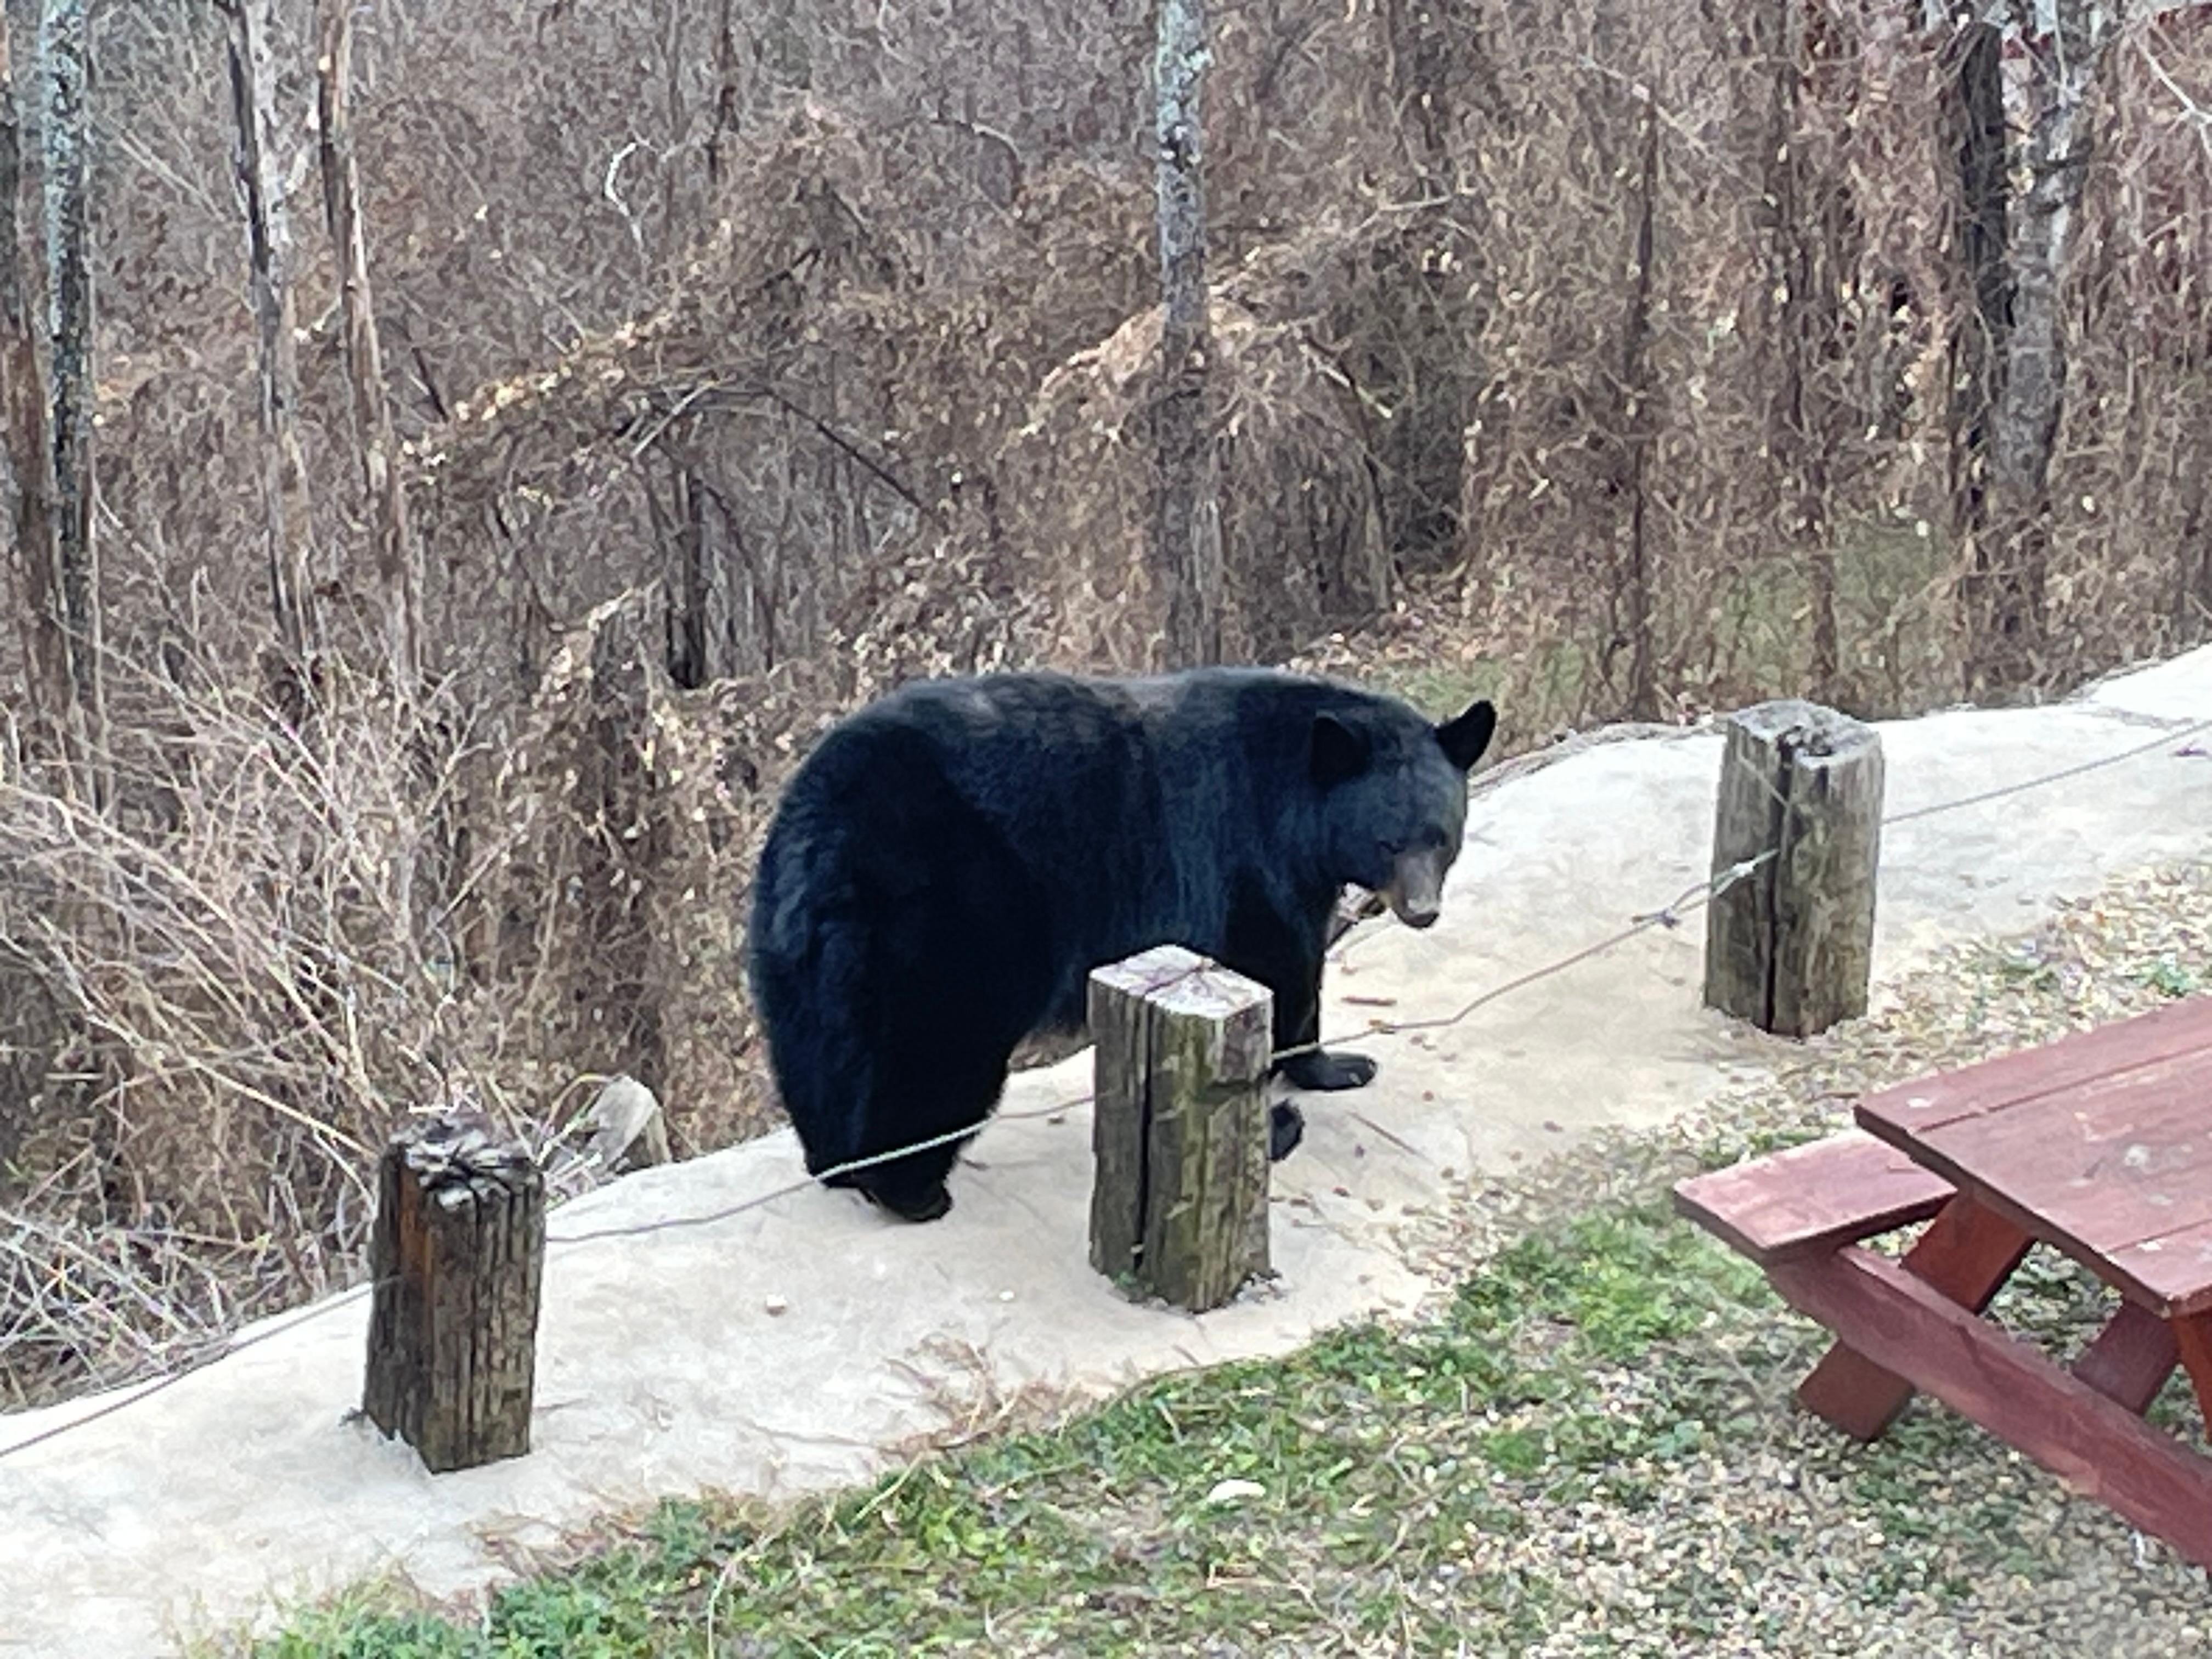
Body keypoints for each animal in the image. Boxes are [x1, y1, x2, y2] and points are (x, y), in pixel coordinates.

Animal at [745, 667, 1497, 1222]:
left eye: (1441, 836)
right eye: (1388, 842)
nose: (1423, 911)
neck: (1296, 791)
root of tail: (825, 827)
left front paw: (1339, 1067)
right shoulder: (1241, 856)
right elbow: (1275, 966)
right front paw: (1296, 1098)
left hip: (795, 944)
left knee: (817, 1048)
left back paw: (836, 1166)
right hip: (955, 912)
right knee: (934, 1045)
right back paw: (912, 1189)